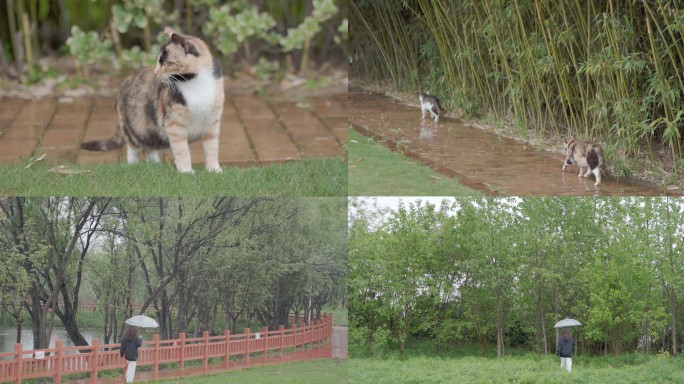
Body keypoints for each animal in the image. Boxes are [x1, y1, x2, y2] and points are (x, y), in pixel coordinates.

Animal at [81, 28, 224, 174]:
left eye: (166, 63)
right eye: (157, 61)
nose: (155, 73)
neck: (196, 84)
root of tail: (122, 84)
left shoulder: (213, 122)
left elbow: (212, 148)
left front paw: (214, 170)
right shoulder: (174, 125)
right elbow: (182, 150)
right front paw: (186, 171)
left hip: (150, 129)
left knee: (149, 147)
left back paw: (156, 165)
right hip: (134, 128)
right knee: (134, 148)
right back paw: (134, 165)